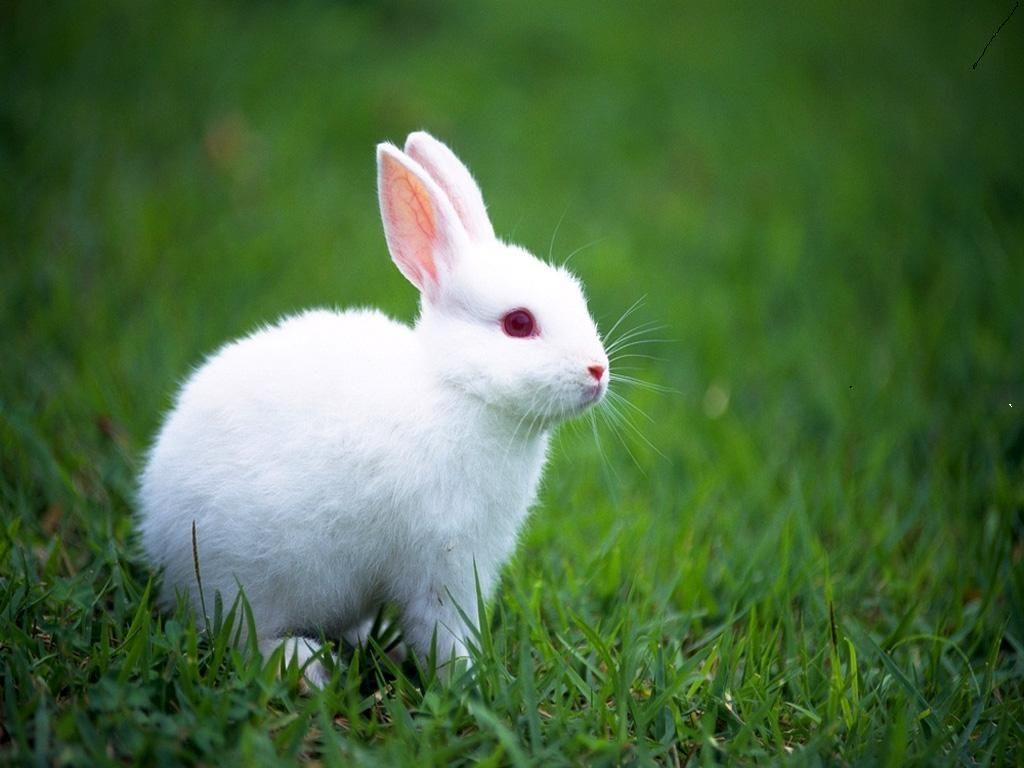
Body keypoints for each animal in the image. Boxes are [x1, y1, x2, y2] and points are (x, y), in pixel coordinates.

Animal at [137, 131, 610, 685]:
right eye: (519, 323)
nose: (598, 370)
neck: (458, 390)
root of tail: (158, 533)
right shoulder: (443, 562)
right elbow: (442, 631)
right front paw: (468, 679)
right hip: (247, 579)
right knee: (241, 636)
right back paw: (308, 666)